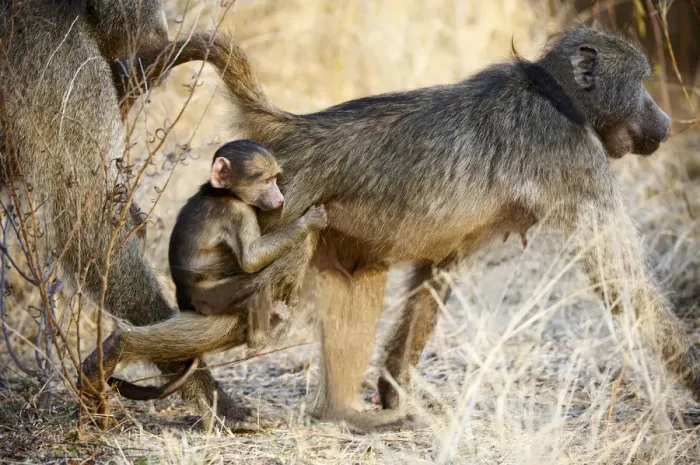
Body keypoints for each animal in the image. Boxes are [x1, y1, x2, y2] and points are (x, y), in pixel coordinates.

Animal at [101, 25, 696, 432]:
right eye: (642, 82)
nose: (666, 123)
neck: (552, 92)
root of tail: (291, 130)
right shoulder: (574, 157)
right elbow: (621, 278)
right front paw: (693, 382)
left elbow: (433, 280)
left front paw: (393, 393)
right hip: (275, 214)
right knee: (264, 302)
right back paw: (115, 349)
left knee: (356, 281)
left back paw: (345, 414)